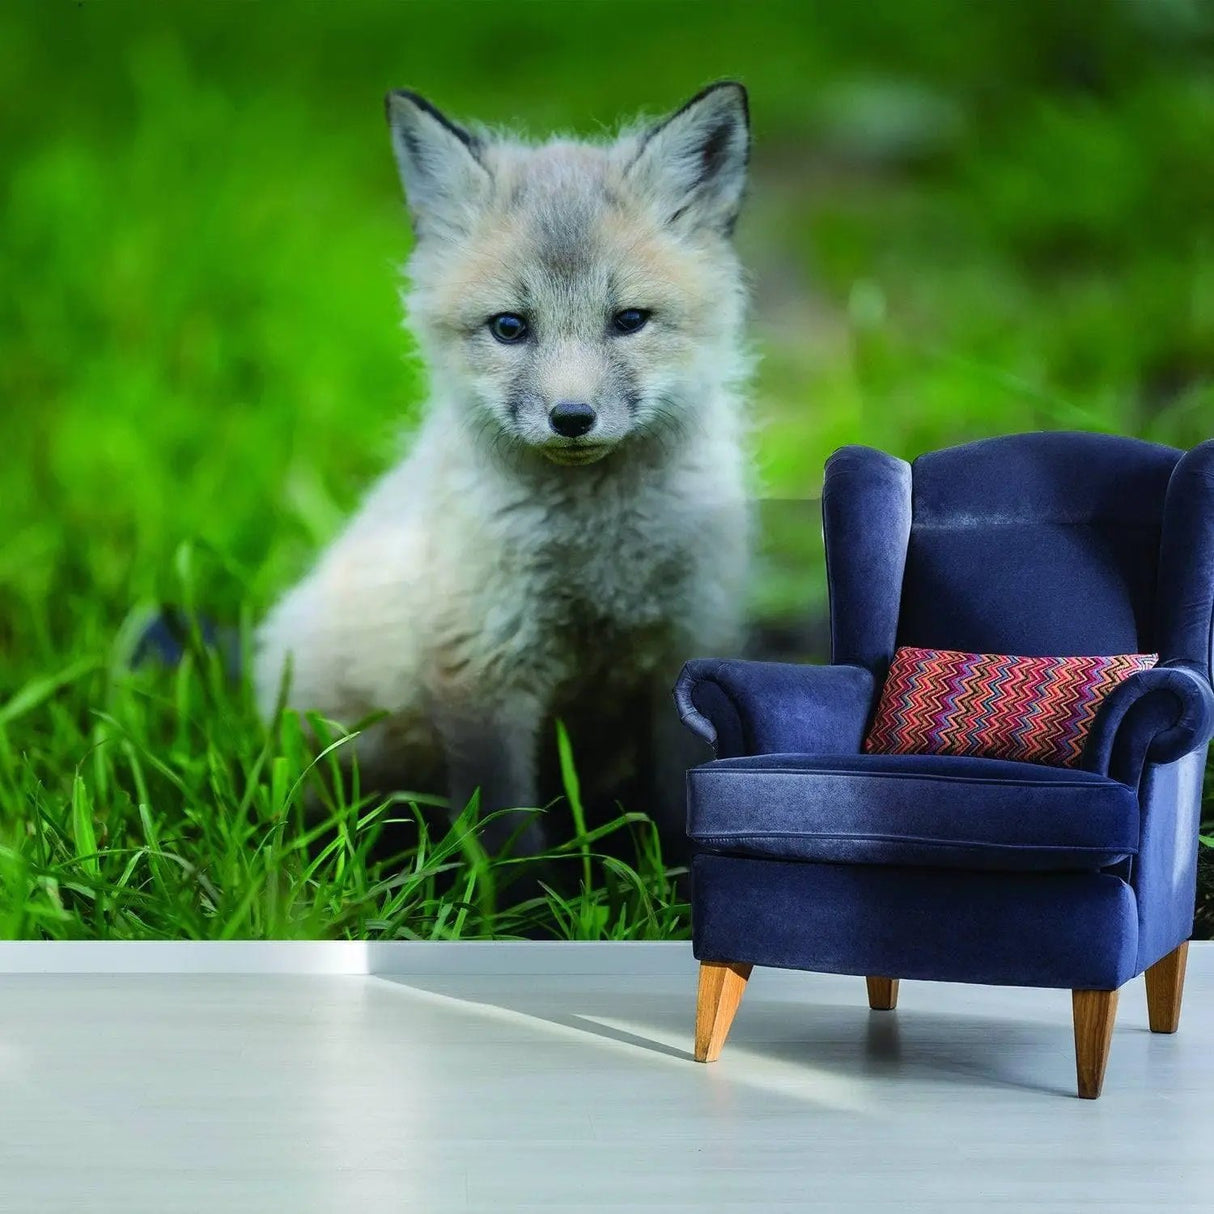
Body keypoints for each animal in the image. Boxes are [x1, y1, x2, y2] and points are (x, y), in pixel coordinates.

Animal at [253, 82, 755, 862]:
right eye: (510, 327)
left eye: (630, 320)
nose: (572, 417)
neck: (598, 547)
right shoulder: (483, 667)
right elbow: (505, 831)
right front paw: (517, 897)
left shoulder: (689, 642)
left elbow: (682, 804)